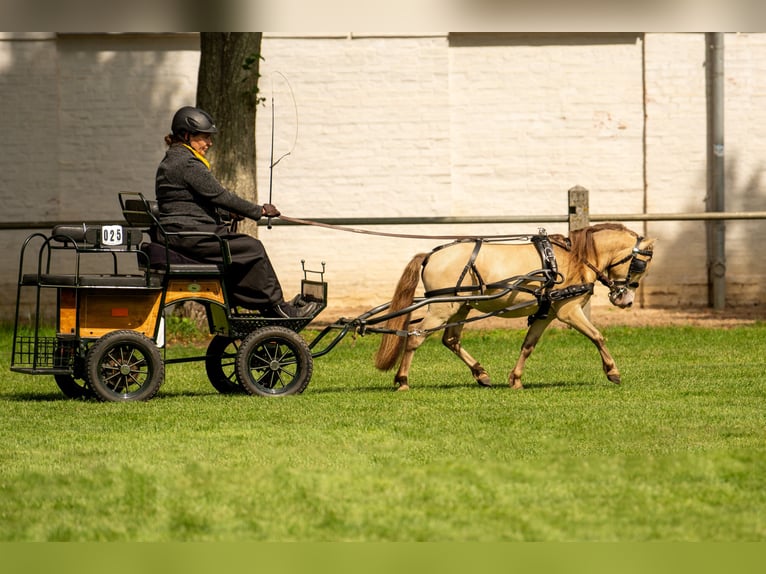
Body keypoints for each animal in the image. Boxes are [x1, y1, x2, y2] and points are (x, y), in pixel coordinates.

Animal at [374, 223, 655, 391]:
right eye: (640, 266)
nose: (626, 301)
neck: (575, 258)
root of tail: (431, 255)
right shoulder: (569, 311)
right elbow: (598, 336)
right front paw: (613, 372)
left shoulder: (546, 313)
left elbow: (528, 345)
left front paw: (516, 379)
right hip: (441, 309)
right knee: (414, 338)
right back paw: (402, 380)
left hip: (460, 306)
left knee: (451, 340)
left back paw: (481, 374)